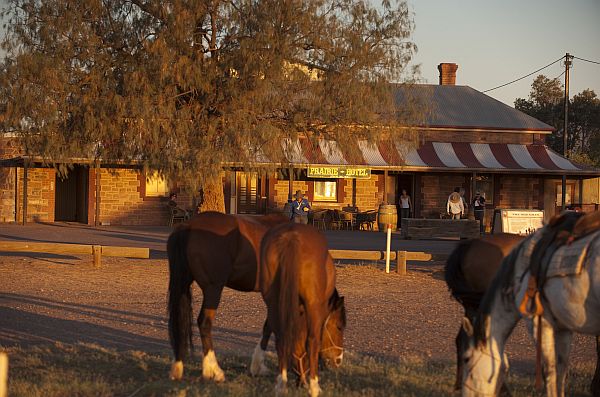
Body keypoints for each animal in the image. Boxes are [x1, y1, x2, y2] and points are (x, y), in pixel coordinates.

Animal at [258, 221, 346, 394]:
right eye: (339, 327)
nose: (338, 359)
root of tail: (291, 237)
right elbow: (307, 341)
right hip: (312, 306)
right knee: (312, 342)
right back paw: (314, 386)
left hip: (273, 302)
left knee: (280, 337)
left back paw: (281, 384)